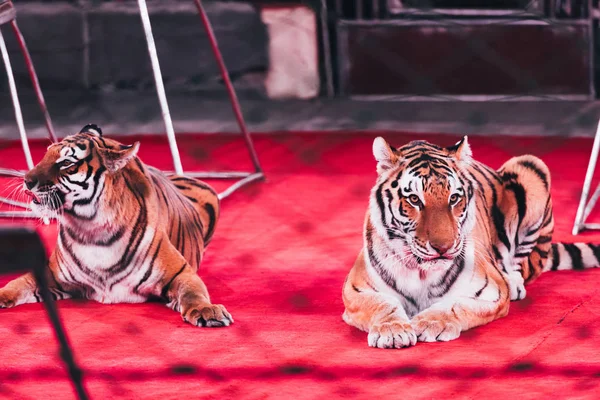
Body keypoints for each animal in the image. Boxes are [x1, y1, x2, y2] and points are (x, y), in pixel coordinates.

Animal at [0, 124, 232, 328]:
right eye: (46, 155)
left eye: (66, 162)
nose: (27, 180)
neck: (90, 228)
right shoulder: (51, 273)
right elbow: (19, 282)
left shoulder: (180, 273)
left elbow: (193, 293)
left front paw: (207, 310)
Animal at [342, 136, 600, 348]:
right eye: (414, 199)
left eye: (454, 198)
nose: (443, 248)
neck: (421, 271)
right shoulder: (355, 290)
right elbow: (383, 303)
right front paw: (392, 331)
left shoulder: (493, 291)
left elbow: (456, 303)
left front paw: (429, 323)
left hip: (532, 166)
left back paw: (514, 282)